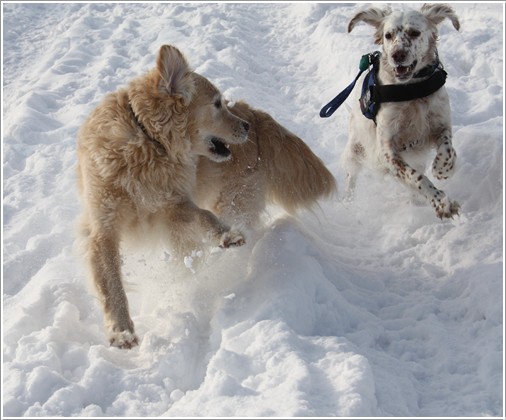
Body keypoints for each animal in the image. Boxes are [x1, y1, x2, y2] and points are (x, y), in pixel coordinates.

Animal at [76, 44, 249, 350]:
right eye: (217, 104)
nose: (248, 126)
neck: (147, 143)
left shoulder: (172, 206)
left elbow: (204, 214)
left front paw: (226, 234)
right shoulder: (102, 230)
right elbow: (111, 285)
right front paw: (121, 330)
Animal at [342, 4, 460, 220]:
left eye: (414, 33)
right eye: (388, 35)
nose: (397, 55)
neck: (412, 90)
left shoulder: (441, 123)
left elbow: (447, 149)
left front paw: (443, 169)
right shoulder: (388, 151)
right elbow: (416, 178)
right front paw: (442, 203)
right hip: (355, 149)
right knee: (351, 177)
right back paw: (347, 202)